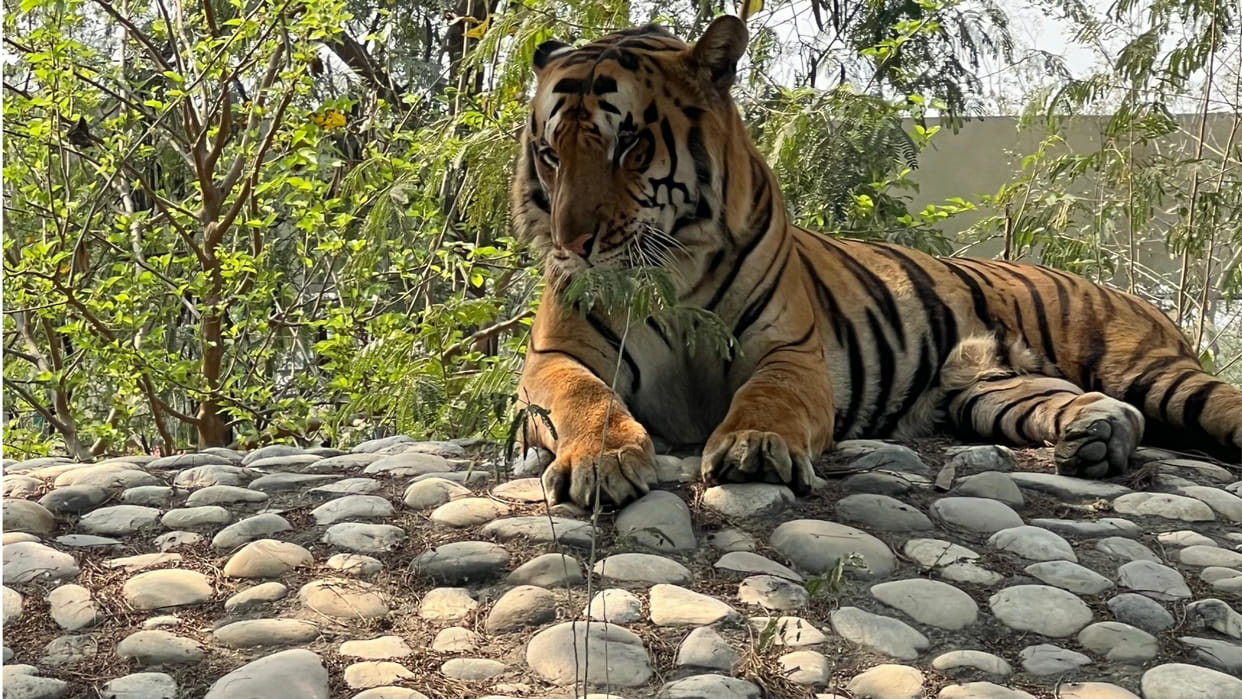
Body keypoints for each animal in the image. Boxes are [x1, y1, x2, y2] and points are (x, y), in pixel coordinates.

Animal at [510, 15, 1242, 508]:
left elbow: (767, 396)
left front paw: (755, 446)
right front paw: (603, 459)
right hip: (991, 390)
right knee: (1105, 410)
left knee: (1209, 402)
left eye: (630, 147)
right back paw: (1097, 440)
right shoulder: (555, 354)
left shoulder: (792, 352)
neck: (673, 269)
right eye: (551, 154)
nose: (573, 244)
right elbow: (586, 396)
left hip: (1144, 367)